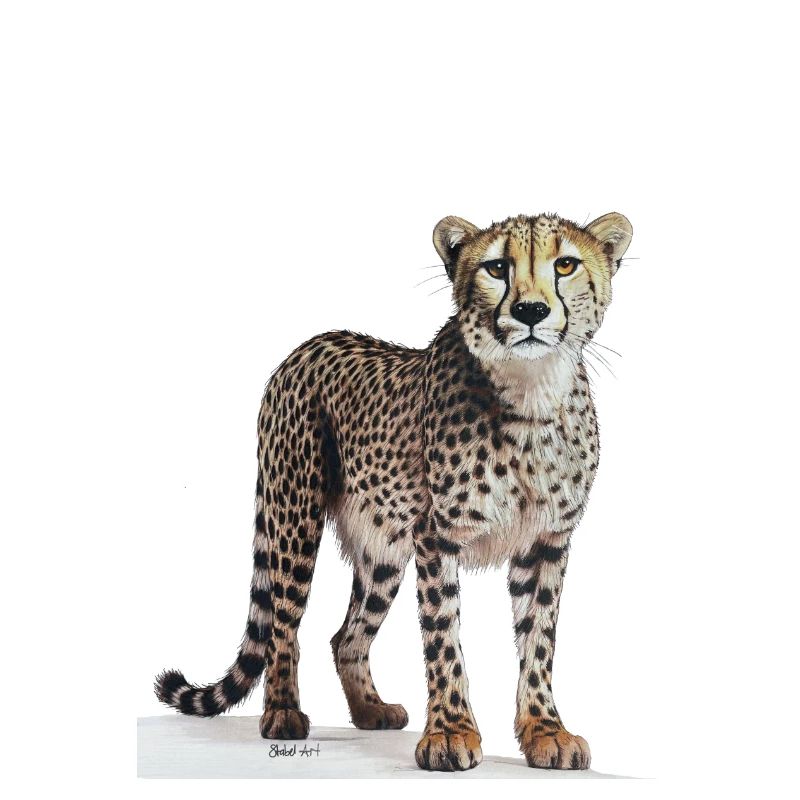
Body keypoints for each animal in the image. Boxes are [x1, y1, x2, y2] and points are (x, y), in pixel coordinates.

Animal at [155, 211, 633, 772]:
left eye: (565, 265)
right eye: (496, 267)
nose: (531, 310)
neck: (530, 393)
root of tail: (309, 344)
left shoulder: (547, 541)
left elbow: (539, 641)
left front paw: (545, 731)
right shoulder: (437, 535)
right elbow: (444, 639)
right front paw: (450, 734)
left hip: (382, 548)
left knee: (346, 635)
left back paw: (369, 710)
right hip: (295, 514)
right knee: (283, 623)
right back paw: (282, 712)